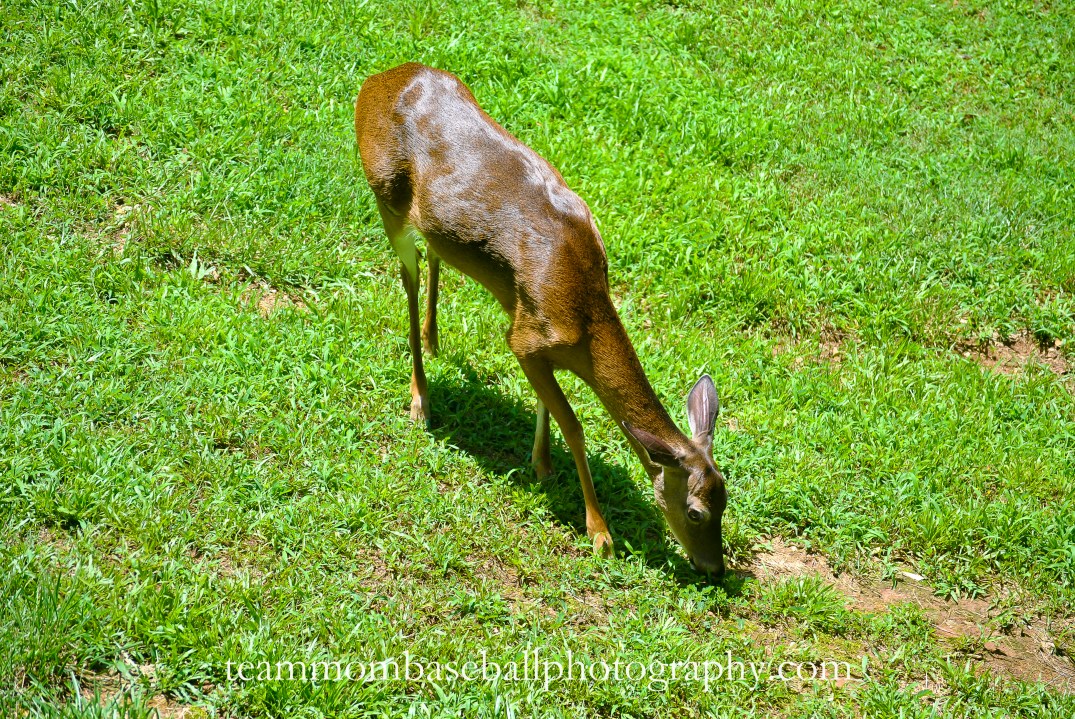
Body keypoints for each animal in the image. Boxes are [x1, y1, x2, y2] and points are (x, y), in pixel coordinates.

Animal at [355, 63, 727, 576]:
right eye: (694, 512)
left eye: (726, 498)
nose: (716, 568)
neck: (584, 321)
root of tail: (375, 82)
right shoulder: (526, 339)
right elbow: (574, 423)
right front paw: (600, 532)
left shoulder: (526, 325)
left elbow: (545, 404)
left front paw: (542, 463)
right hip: (385, 197)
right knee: (407, 285)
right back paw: (420, 398)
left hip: (431, 222)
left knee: (435, 254)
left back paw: (434, 339)